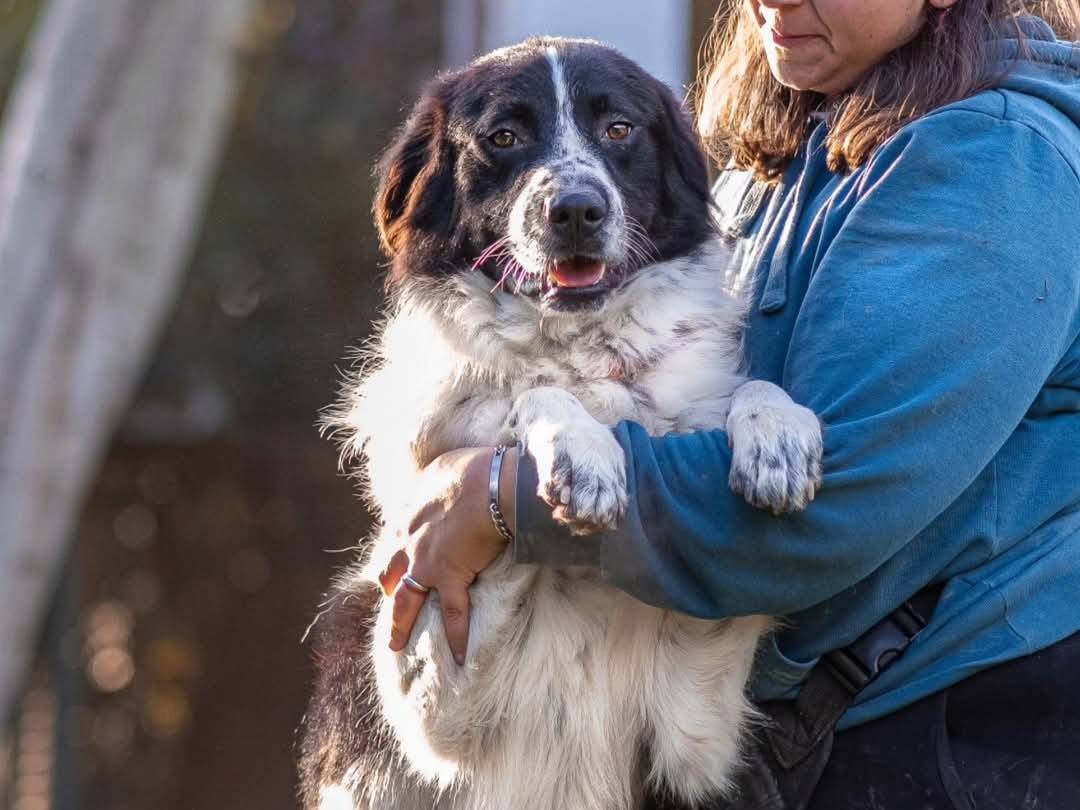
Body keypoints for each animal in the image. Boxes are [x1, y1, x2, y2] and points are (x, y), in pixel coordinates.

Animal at [295, 36, 816, 810]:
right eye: (503, 138)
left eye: (620, 128)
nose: (575, 210)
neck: (578, 343)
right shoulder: (436, 690)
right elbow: (529, 391)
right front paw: (583, 451)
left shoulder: (698, 714)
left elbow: (750, 385)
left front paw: (777, 437)